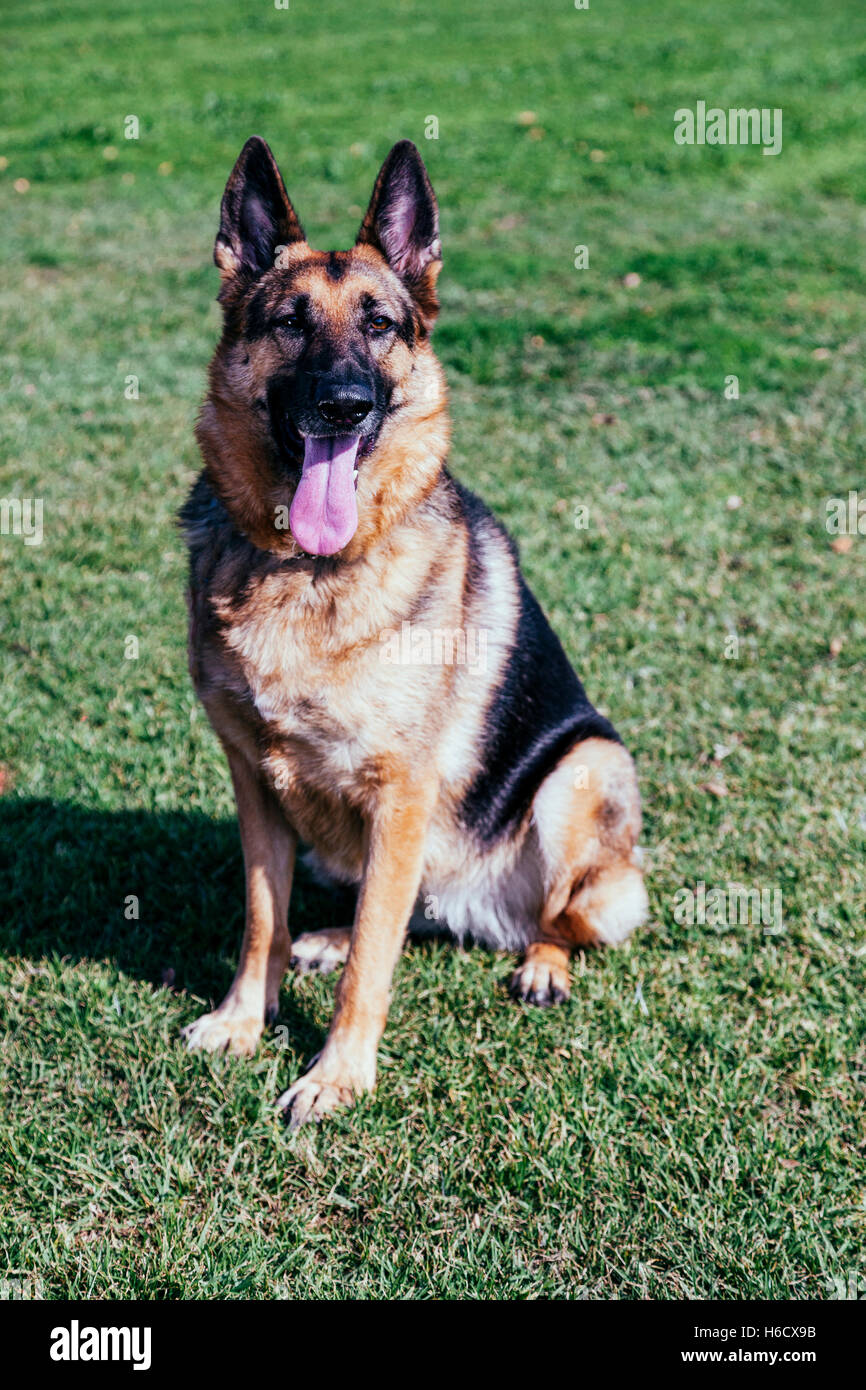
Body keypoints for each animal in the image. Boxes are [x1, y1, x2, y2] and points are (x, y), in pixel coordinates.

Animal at [180, 136, 648, 1127]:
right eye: (288, 323)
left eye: (381, 325)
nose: (344, 404)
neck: (309, 569)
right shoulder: (253, 779)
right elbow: (261, 917)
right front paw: (244, 1020)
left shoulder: (400, 794)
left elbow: (372, 962)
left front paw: (336, 1076)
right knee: (401, 910)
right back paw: (326, 934)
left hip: (579, 774)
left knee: (549, 918)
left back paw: (541, 964)